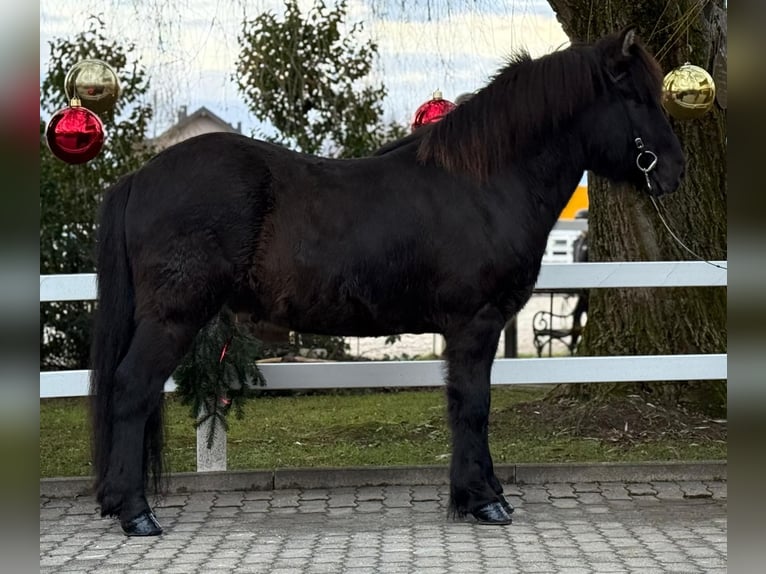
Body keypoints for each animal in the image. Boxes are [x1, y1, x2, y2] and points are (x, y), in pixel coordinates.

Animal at [88, 29, 684, 536]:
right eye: (637, 98)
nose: (674, 171)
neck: (486, 184)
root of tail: (139, 176)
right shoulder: (476, 323)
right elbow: (473, 405)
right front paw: (483, 501)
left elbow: (466, 405)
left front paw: (480, 494)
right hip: (173, 319)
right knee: (133, 389)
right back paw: (137, 514)